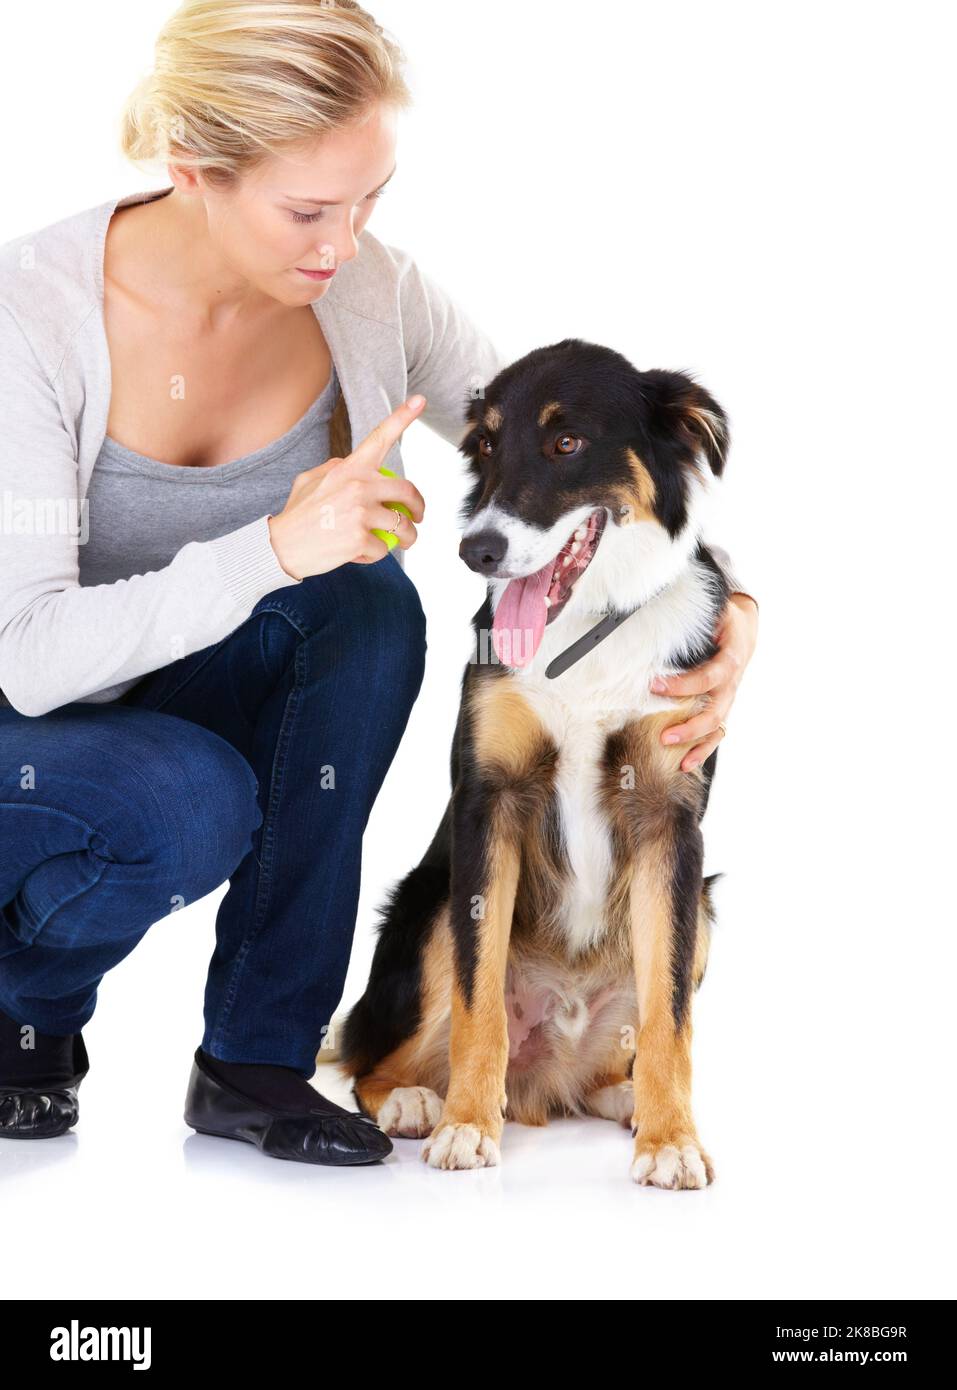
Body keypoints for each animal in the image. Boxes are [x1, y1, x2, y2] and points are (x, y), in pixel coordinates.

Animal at [342, 333, 734, 1184]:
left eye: (566, 443)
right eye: (486, 445)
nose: (477, 550)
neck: (584, 631)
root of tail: (542, 1082)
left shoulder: (670, 820)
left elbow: (669, 1018)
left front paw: (671, 1138)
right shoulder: (489, 804)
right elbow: (477, 997)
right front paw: (465, 1125)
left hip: (704, 907)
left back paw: (623, 1098)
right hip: (427, 905)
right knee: (365, 1056)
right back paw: (415, 1102)